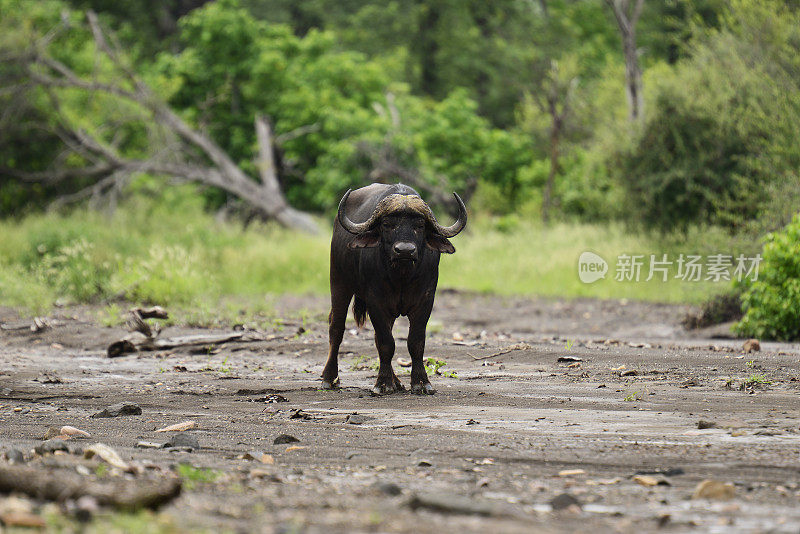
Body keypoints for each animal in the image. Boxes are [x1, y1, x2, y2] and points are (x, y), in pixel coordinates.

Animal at [320, 184, 466, 398]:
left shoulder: (426, 301)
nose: (404, 250)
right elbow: (386, 343)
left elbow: (415, 341)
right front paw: (382, 383)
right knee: (336, 327)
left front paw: (421, 383)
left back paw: (396, 381)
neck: (402, 276)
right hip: (338, 282)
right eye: (387, 224)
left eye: (420, 225)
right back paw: (329, 378)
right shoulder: (375, 301)